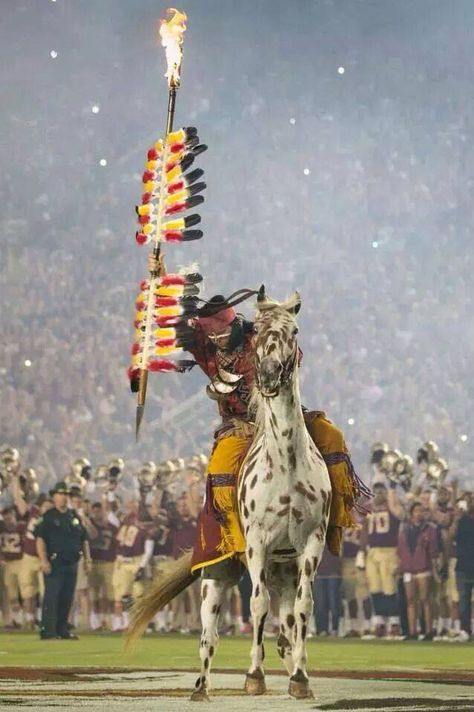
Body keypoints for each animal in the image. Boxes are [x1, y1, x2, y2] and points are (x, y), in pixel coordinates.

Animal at [127, 288, 334, 700]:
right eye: (262, 333)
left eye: (294, 330)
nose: (269, 375)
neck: (286, 463)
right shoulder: (257, 543)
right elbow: (256, 605)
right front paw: (254, 676)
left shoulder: (310, 543)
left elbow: (304, 608)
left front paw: (300, 679)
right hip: (216, 575)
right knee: (209, 635)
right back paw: (201, 687)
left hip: (283, 569)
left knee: (287, 621)